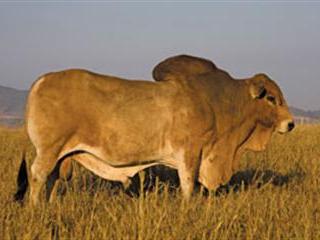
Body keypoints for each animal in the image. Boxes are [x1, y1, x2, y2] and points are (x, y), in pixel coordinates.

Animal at [15, 54, 296, 204]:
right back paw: (36, 207)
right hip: (49, 149)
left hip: (61, 153)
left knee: (53, 178)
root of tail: (42, 80)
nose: (291, 123)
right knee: (38, 175)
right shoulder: (190, 153)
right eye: (271, 98)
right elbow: (188, 185)